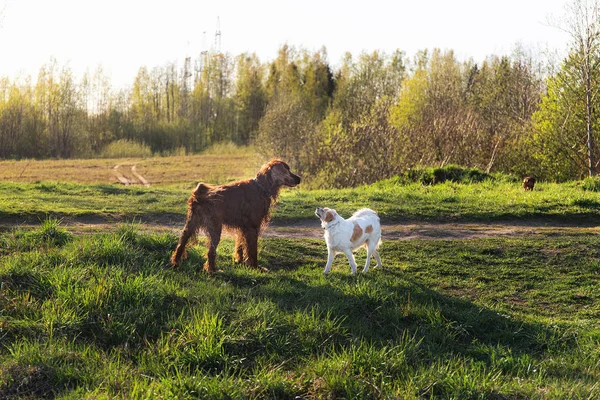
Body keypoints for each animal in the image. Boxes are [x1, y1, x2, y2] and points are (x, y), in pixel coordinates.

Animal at [170, 159, 300, 272]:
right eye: (286, 169)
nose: (299, 179)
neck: (261, 187)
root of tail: (200, 194)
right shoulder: (253, 227)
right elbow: (252, 251)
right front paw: (255, 267)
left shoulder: (243, 227)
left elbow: (240, 245)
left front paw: (239, 261)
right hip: (215, 228)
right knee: (211, 252)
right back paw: (212, 270)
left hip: (190, 225)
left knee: (181, 245)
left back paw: (175, 262)